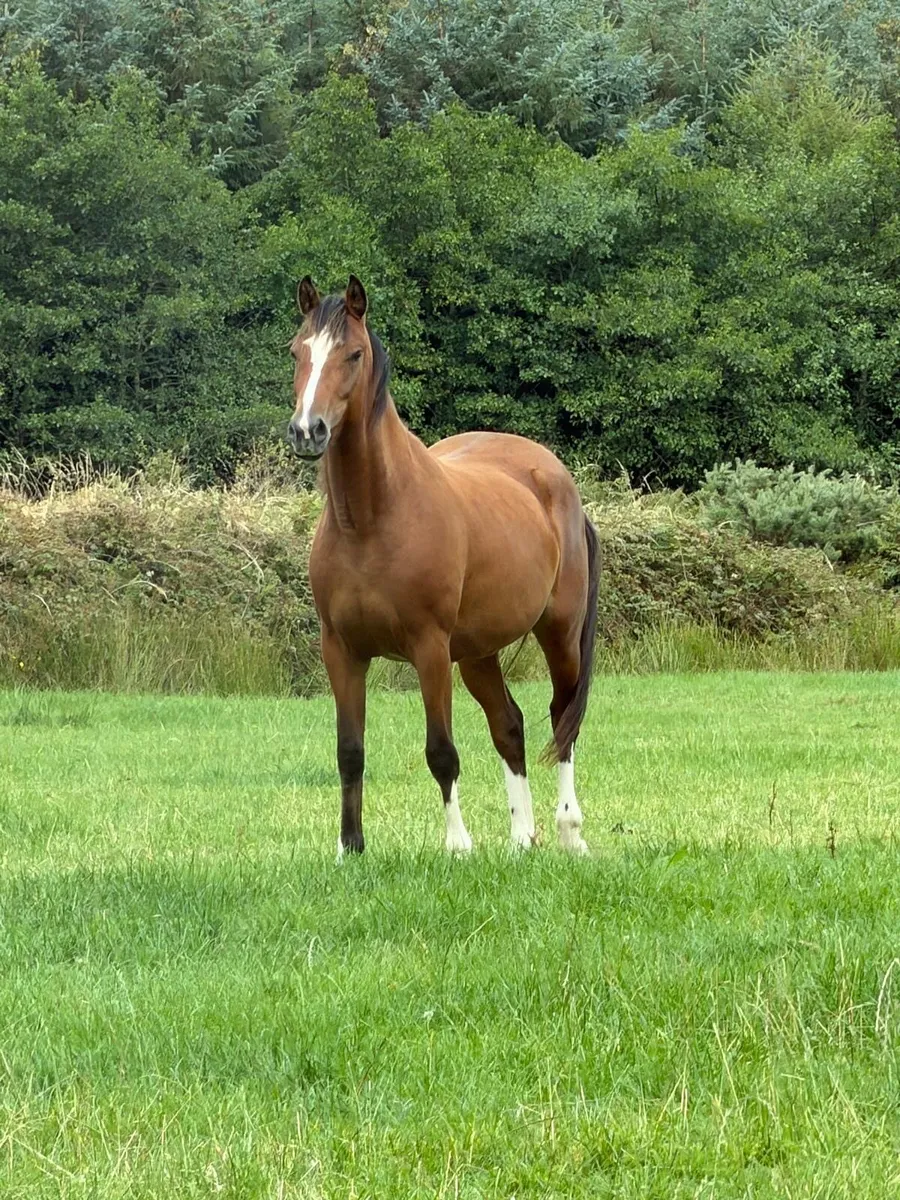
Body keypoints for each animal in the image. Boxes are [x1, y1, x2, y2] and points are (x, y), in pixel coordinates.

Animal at [287, 275, 600, 856]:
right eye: (297, 350)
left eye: (354, 353)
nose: (307, 431)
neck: (371, 520)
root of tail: (553, 476)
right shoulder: (341, 651)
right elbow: (349, 752)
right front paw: (349, 848)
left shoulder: (429, 649)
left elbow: (441, 751)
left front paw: (458, 846)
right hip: (477, 651)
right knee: (509, 724)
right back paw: (522, 839)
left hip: (559, 634)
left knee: (561, 719)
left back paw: (570, 833)